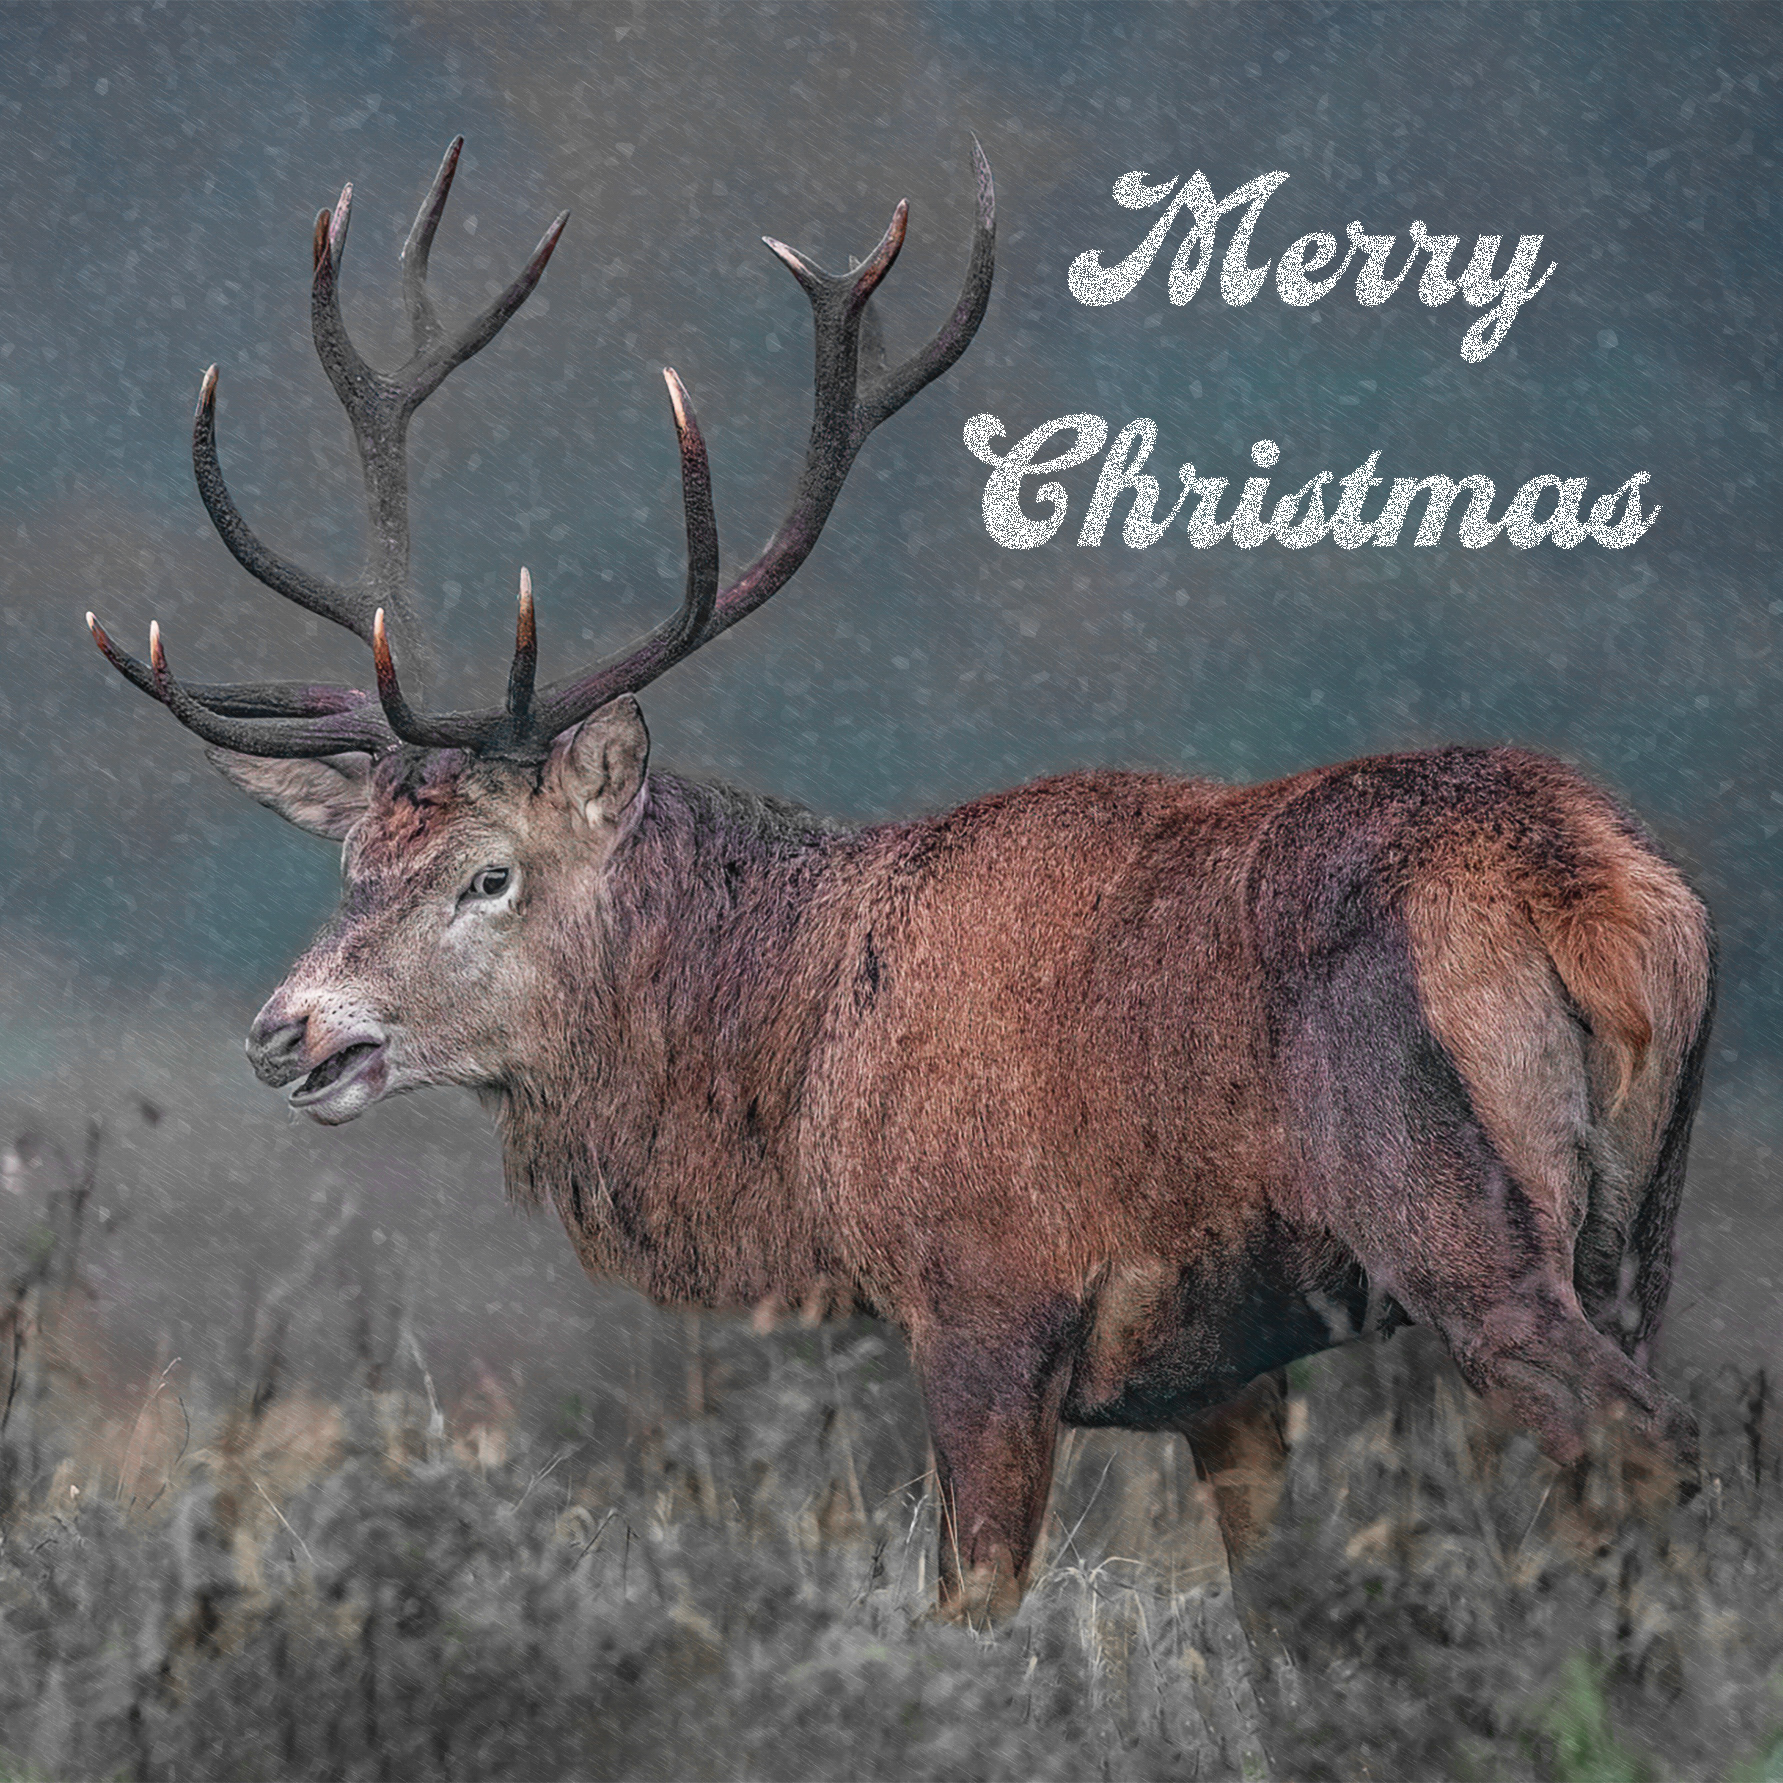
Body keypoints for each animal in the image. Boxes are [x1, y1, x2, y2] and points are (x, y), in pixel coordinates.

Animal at [88, 140, 1713, 1629]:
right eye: (353, 858)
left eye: (491, 874)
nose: (285, 1030)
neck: (803, 1085)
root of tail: (1597, 896)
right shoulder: (1221, 1371)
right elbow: (1272, 1632)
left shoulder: (984, 1295)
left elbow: (968, 1607)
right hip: (1640, 1235)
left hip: (1461, 1227)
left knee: (1650, 1451)